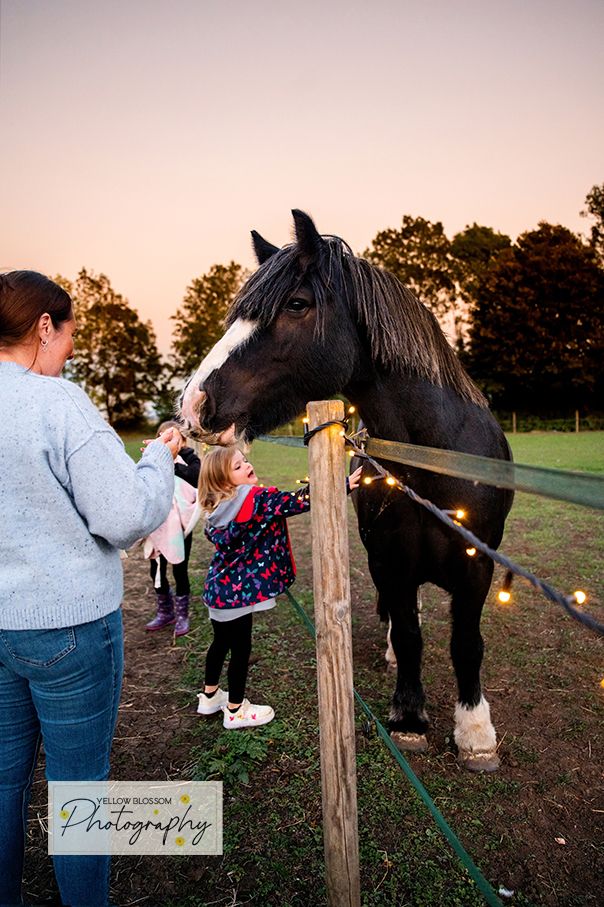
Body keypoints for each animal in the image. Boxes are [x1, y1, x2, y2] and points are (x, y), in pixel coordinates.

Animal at [180, 209, 514, 772]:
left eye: (296, 304)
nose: (194, 402)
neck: (436, 459)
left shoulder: (477, 565)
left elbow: (467, 644)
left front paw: (475, 732)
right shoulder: (390, 559)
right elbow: (410, 633)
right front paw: (409, 716)